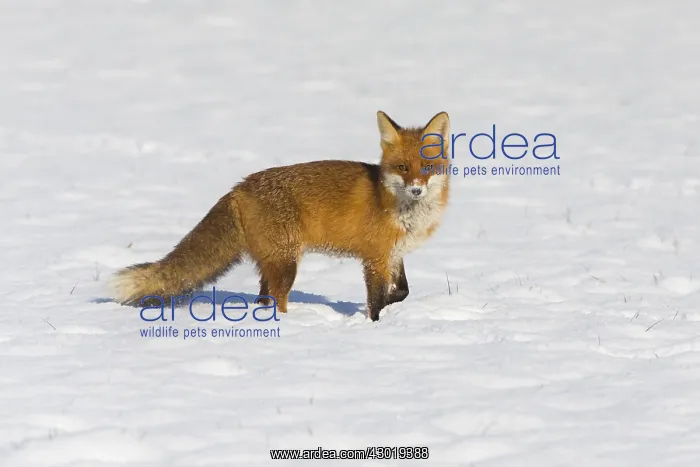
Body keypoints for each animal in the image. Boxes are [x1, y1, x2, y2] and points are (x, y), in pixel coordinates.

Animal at [111, 111, 451, 321]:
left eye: (427, 168)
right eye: (403, 168)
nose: (416, 190)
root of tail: (239, 187)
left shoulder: (394, 254)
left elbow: (403, 291)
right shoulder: (375, 258)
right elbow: (376, 302)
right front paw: (375, 326)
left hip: (274, 265)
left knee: (263, 301)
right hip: (287, 265)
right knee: (275, 301)